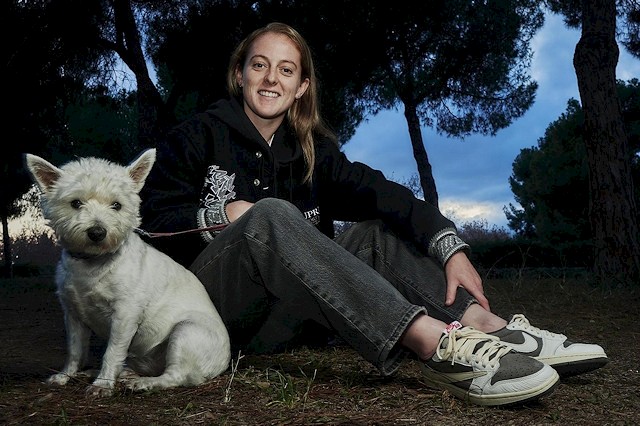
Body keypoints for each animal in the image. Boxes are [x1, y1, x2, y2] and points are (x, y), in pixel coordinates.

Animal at [25, 148, 231, 398]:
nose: (97, 232)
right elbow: (75, 350)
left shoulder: (125, 314)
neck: (92, 264)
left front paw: (103, 384)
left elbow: (112, 351)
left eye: (117, 205)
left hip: (186, 332)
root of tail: (226, 361)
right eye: (75, 203)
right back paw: (113, 373)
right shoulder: (73, 314)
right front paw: (65, 376)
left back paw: (144, 383)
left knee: (176, 375)